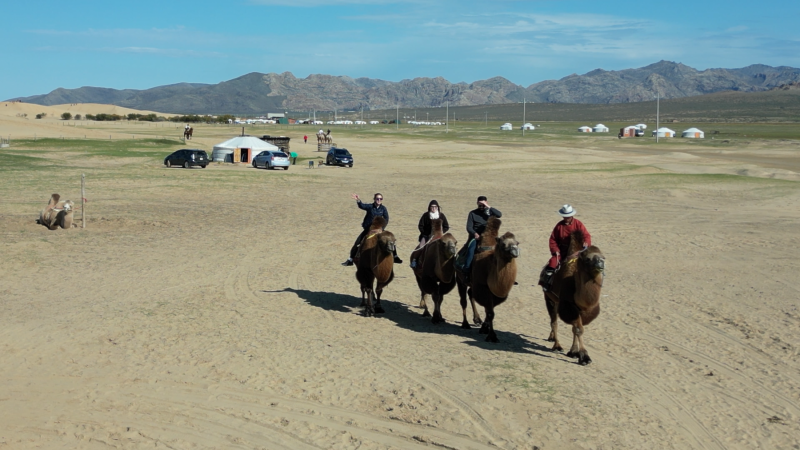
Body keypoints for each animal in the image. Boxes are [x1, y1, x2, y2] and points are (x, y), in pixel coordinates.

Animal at [544, 230, 608, 364]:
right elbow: (578, 329)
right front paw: (584, 356)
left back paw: (552, 338)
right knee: (554, 322)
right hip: (549, 298)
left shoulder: (584, 310)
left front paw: (573, 352)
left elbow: (576, 328)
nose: (601, 263)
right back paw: (557, 346)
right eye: (588, 259)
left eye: (603, 257)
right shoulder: (569, 305)